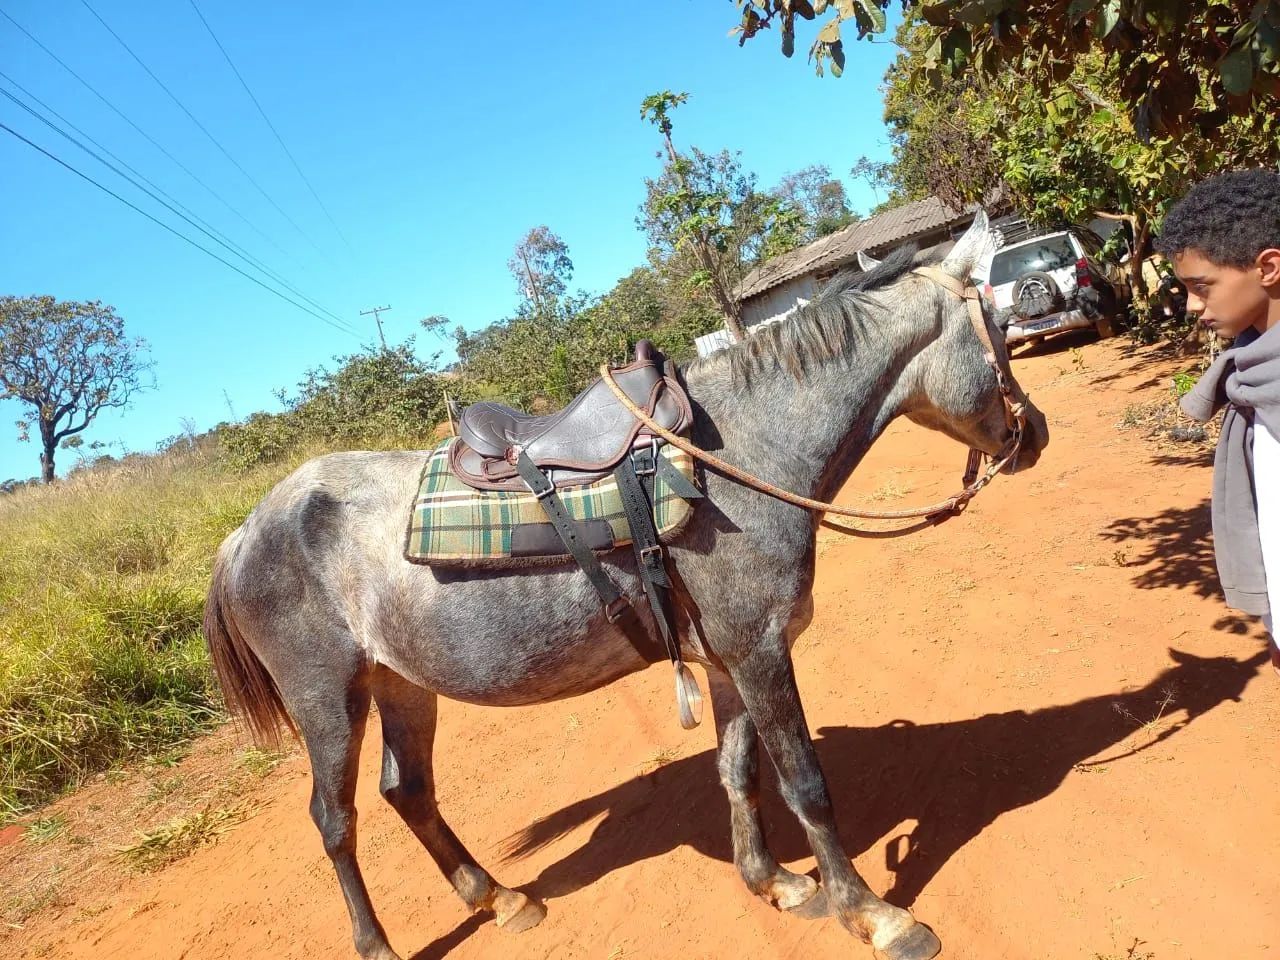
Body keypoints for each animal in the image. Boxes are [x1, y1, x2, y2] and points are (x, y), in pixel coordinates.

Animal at [203, 212, 1049, 960]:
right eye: (998, 325)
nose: (1033, 432)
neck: (739, 455)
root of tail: (245, 533)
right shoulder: (760, 652)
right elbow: (805, 783)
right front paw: (874, 917)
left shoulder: (728, 661)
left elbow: (738, 771)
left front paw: (772, 881)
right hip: (326, 699)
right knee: (335, 819)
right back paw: (378, 945)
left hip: (400, 683)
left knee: (406, 791)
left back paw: (499, 899)